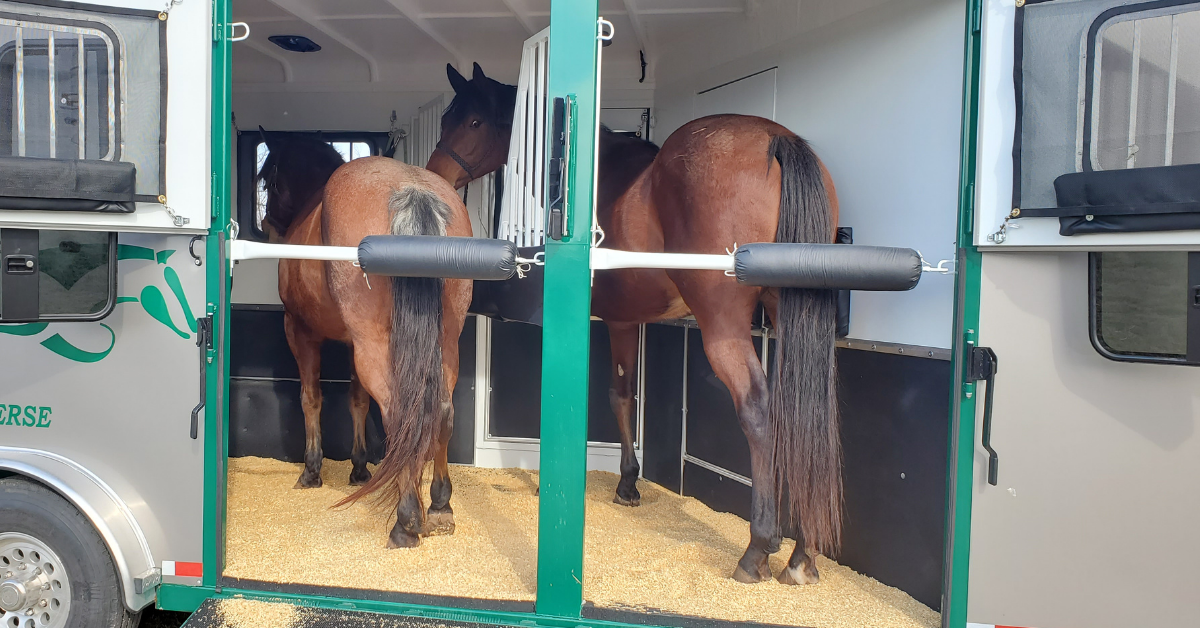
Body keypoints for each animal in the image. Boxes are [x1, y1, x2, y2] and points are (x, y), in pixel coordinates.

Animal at [256, 129, 472, 547]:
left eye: (269, 180)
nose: (268, 223)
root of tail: (411, 188)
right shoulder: (352, 342)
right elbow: (356, 401)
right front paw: (359, 469)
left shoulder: (300, 330)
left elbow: (311, 398)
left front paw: (311, 470)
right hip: (446, 343)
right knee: (441, 411)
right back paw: (440, 508)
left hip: (373, 344)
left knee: (399, 413)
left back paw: (407, 522)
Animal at [429, 63, 842, 586]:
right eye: (447, 117)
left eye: (474, 121)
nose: (435, 175)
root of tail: (776, 139)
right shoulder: (626, 321)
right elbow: (622, 394)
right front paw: (627, 484)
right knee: (804, 412)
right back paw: (803, 555)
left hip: (724, 327)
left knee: (758, 409)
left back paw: (757, 550)